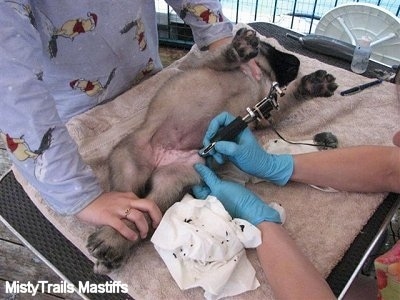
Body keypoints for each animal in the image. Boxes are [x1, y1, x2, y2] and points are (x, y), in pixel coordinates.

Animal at [86, 27, 338, 274]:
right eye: (274, 50)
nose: (297, 61)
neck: (256, 75)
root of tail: (159, 161)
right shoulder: (213, 65)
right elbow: (225, 56)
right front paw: (241, 47)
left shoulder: (265, 113)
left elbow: (289, 96)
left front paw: (312, 85)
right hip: (129, 161)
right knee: (127, 206)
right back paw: (110, 240)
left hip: (172, 180)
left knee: (145, 213)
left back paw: (114, 246)